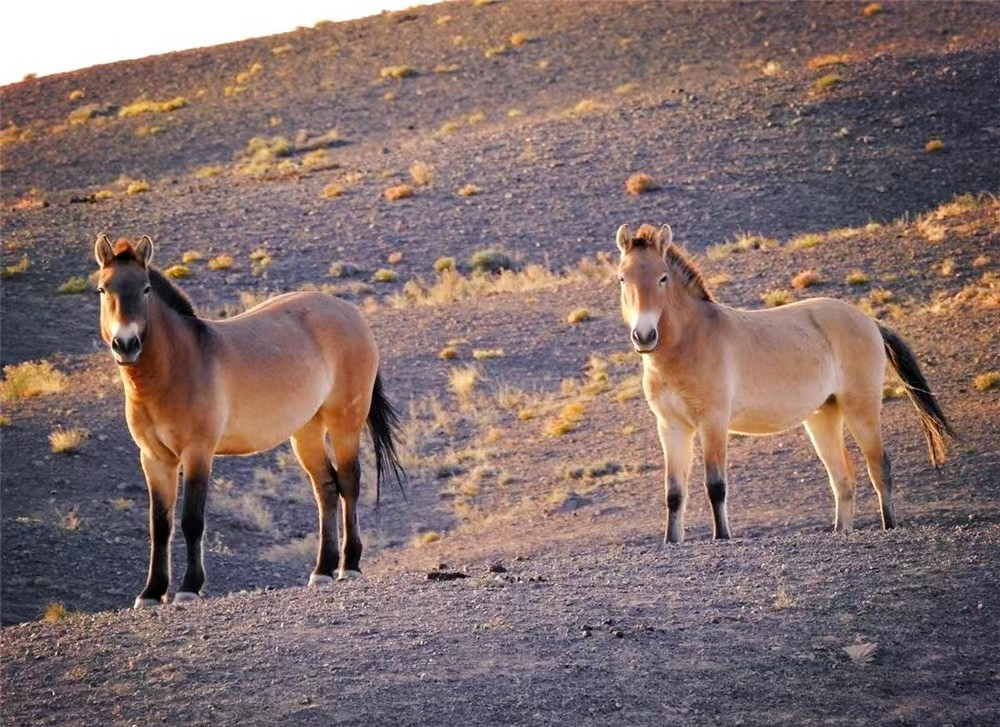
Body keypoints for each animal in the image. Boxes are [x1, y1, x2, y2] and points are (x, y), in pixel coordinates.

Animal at [94, 236, 404, 604]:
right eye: (102, 289)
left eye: (144, 289)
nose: (125, 344)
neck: (179, 366)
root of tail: (350, 312)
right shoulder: (155, 459)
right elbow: (160, 525)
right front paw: (152, 592)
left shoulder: (198, 453)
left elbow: (191, 520)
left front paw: (189, 588)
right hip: (306, 431)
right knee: (326, 487)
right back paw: (322, 571)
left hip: (344, 421)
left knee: (348, 483)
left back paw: (349, 566)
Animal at [612, 225, 956, 544]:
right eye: (622, 278)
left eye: (663, 278)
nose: (644, 336)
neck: (691, 339)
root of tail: (870, 321)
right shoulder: (672, 426)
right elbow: (674, 492)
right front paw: (672, 540)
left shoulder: (713, 422)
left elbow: (716, 485)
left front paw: (722, 536)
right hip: (823, 417)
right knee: (843, 478)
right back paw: (841, 531)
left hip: (862, 410)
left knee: (879, 468)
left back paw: (889, 526)